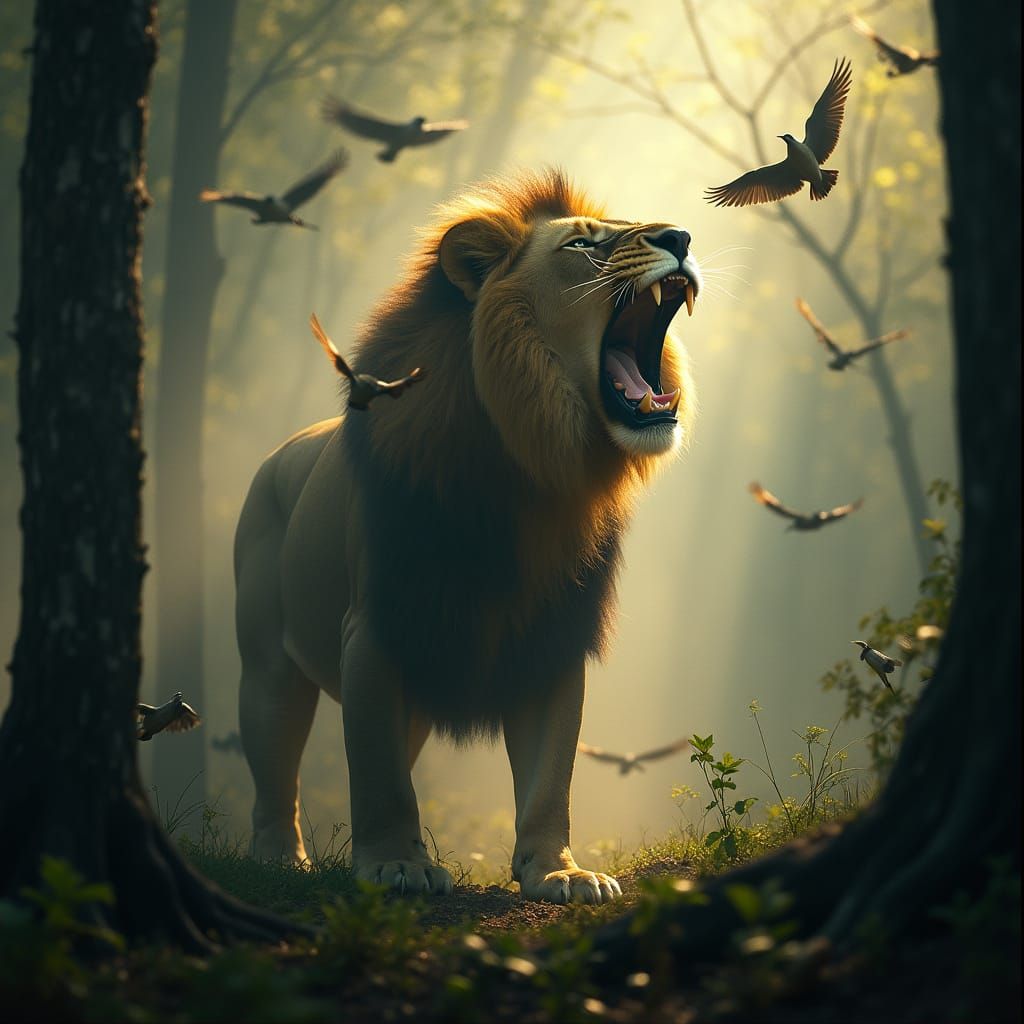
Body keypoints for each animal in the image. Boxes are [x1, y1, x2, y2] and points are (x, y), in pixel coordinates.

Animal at [233, 169, 701, 903]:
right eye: (584, 245)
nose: (681, 237)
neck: (532, 472)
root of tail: (278, 455)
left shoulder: (554, 634)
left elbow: (548, 779)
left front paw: (559, 872)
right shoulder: (376, 626)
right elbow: (380, 778)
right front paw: (395, 865)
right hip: (267, 669)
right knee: (275, 771)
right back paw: (280, 859)